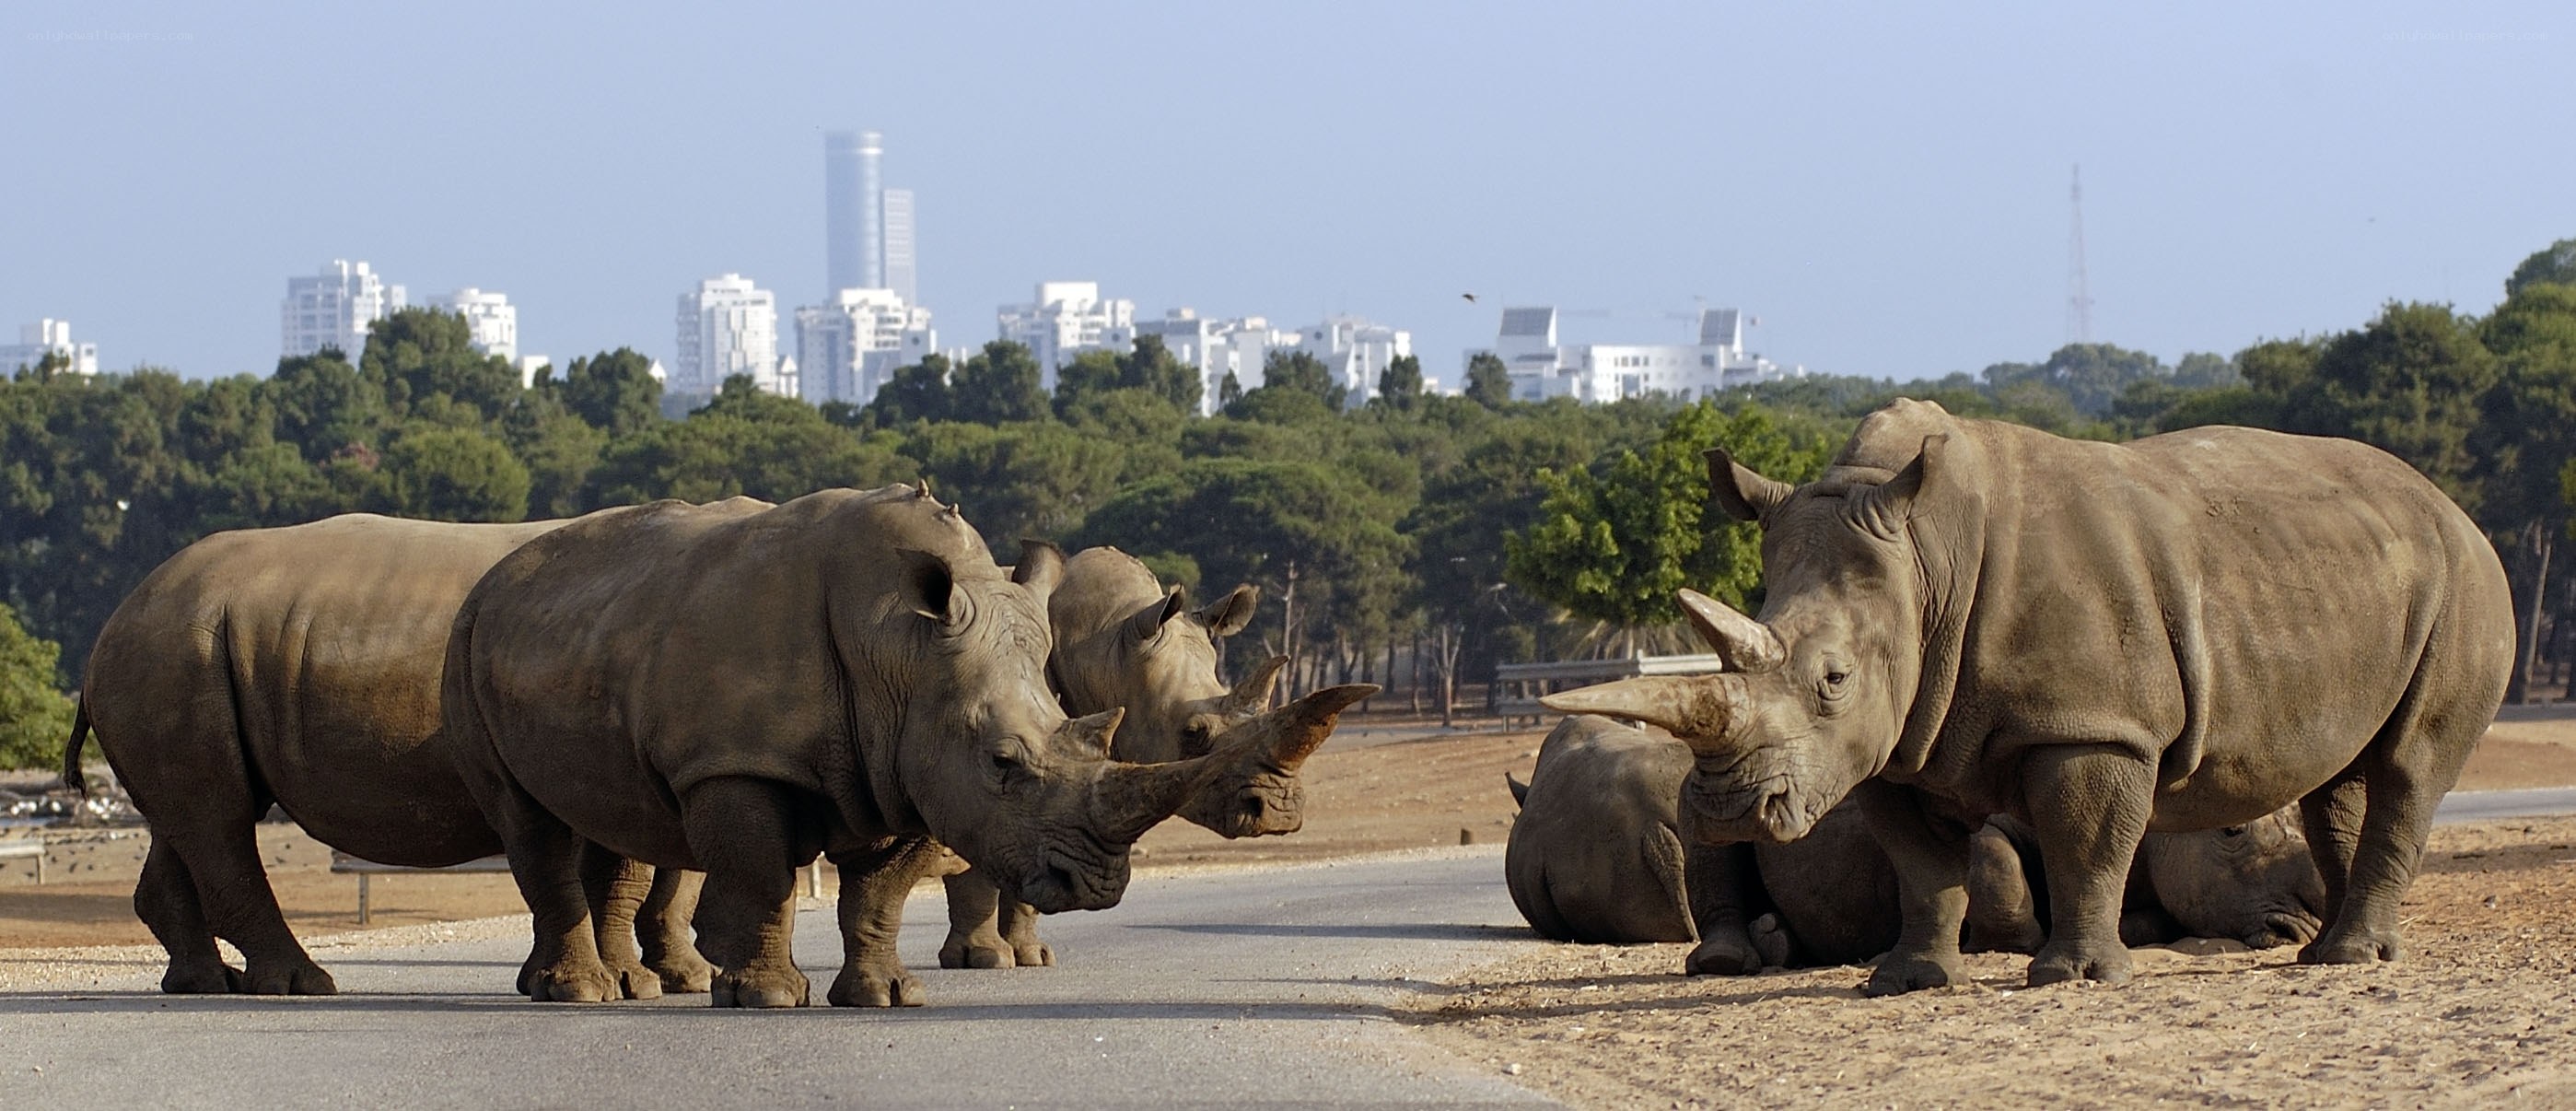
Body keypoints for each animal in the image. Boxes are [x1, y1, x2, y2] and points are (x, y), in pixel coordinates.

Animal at [63, 513, 707, 997]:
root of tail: (109, 624)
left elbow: (662, 872)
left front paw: (666, 979)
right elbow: (638, 870)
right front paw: (635, 982)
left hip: (174, 655)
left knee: (187, 819)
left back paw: (206, 984)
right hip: (170, 653)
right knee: (218, 818)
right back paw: (301, 986)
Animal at [442, 485, 1326, 1007]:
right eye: (1196, 735)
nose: (1099, 887)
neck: (901, 652)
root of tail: (504, 569)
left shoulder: (911, 761)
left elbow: (883, 892)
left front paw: (888, 995)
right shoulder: (742, 762)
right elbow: (767, 874)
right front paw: (769, 996)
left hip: (572, 637)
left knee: (610, 817)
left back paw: (617, 983)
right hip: (470, 635)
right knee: (533, 824)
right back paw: (587, 993)